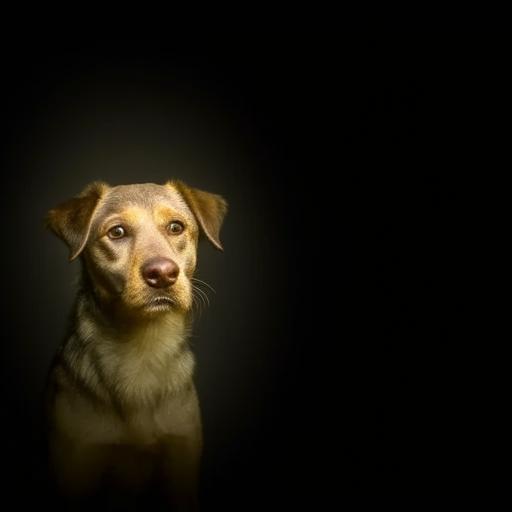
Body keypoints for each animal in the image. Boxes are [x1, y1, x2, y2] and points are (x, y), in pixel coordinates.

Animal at [44, 179, 228, 508]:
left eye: (176, 227)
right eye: (117, 232)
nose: (163, 274)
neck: (142, 350)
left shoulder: (182, 459)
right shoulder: (75, 462)